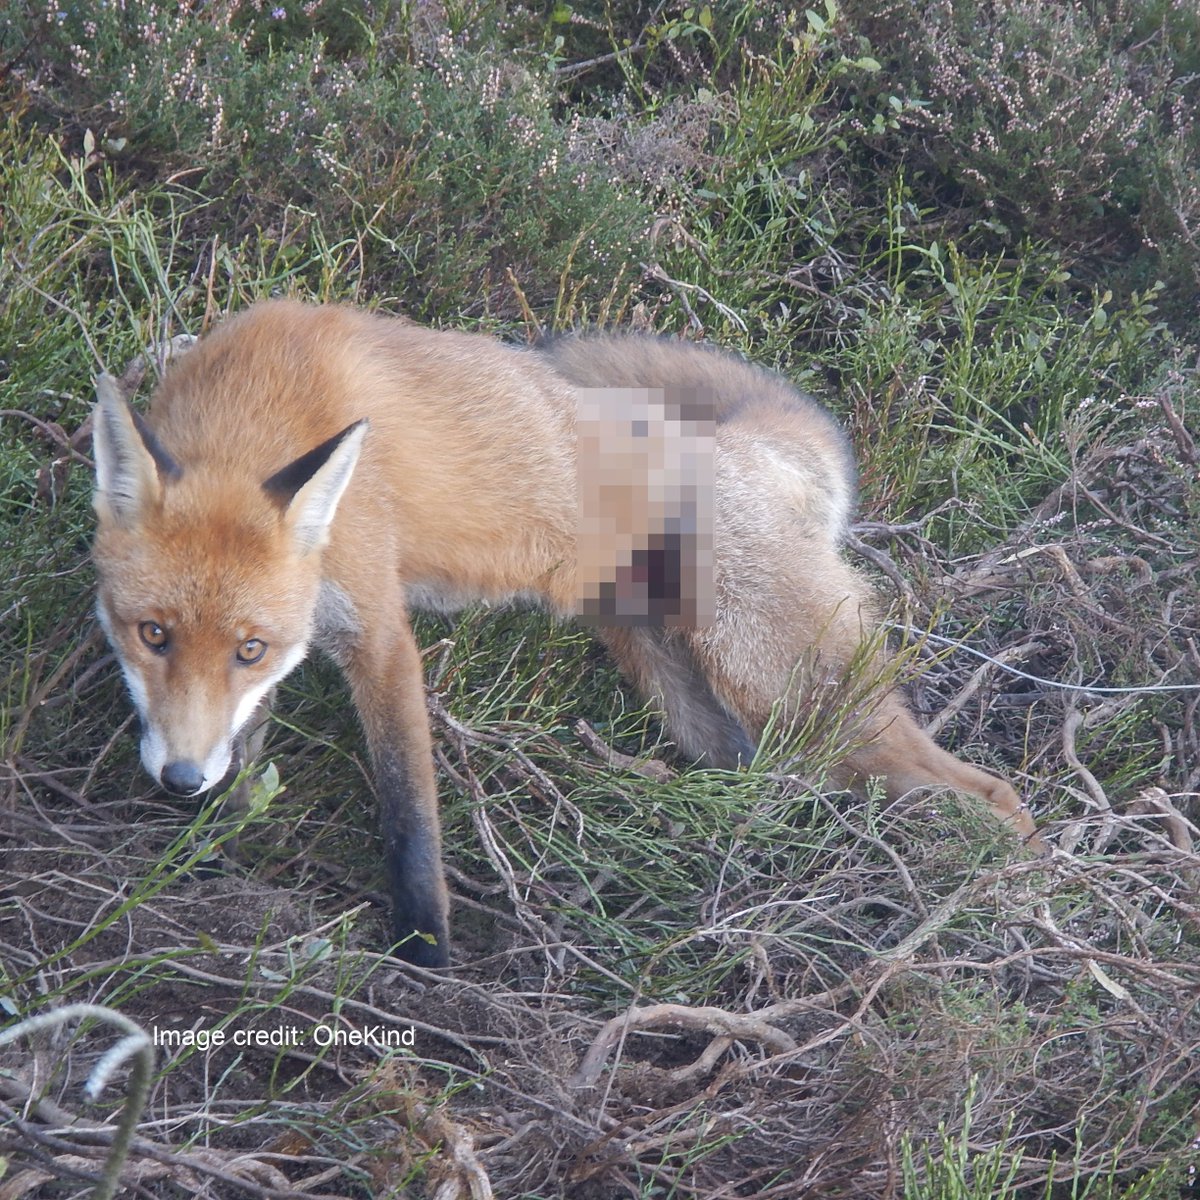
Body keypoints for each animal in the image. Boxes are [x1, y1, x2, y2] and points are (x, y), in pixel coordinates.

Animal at [90, 300, 1040, 968]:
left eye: (246, 648)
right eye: (153, 635)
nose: (178, 780)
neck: (260, 406)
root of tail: (748, 444)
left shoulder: (378, 630)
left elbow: (408, 813)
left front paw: (425, 957)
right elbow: (244, 752)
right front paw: (211, 855)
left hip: (781, 680)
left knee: (992, 796)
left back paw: (992, 883)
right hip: (695, 699)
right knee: (778, 778)